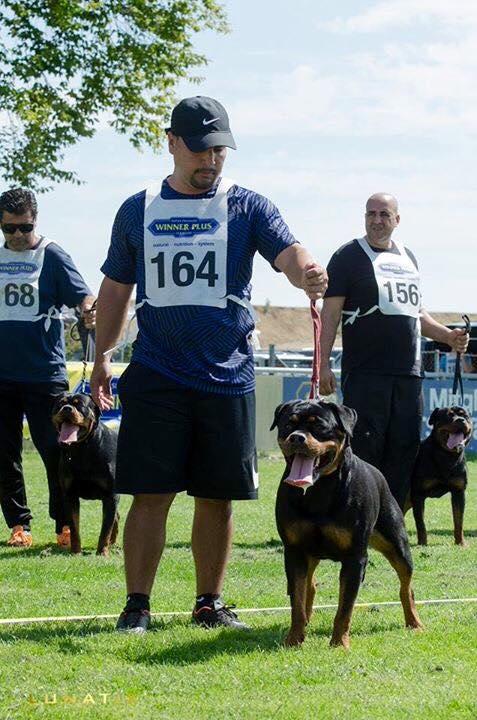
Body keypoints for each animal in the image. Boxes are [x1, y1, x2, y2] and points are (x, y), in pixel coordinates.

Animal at [52, 393, 119, 555]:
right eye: (60, 404)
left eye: (79, 405)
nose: (67, 408)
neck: (82, 449)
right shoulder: (70, 495)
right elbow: (74, 528)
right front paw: (76, 552)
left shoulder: (110, 496)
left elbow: (105, 529)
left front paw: (102, 553)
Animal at [272, 399, 422, 649]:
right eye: (288, 425)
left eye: (319, 426)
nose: (296, 438)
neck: (319, 490)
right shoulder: (294, 551)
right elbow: (297, 601)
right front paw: (293, 639)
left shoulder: (355, 557)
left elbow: (345, 608)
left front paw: (339, 643)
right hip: (309, 554)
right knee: (309, 585)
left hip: (398, 545)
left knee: (406, 586)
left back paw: (414, 623)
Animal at [408, 406, 473, 546]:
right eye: (448, 416)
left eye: (465, 416)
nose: (460, 420)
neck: (447, 456)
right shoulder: (417, 494)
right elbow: (420, 523)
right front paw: (422, 543)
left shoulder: (459, 492)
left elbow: (459, 521)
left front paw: (460, 542)